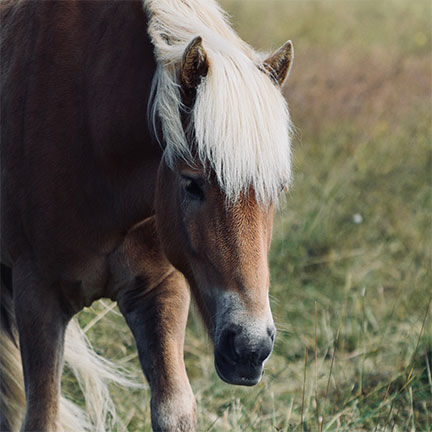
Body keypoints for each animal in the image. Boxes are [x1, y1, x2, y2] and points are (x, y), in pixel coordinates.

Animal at [0, 0, 294, 432]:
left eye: (278, 189)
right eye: (192, 184)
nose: (250, 348)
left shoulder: (160, 291)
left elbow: (173, 410)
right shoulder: (38, 296)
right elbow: (42, 417)